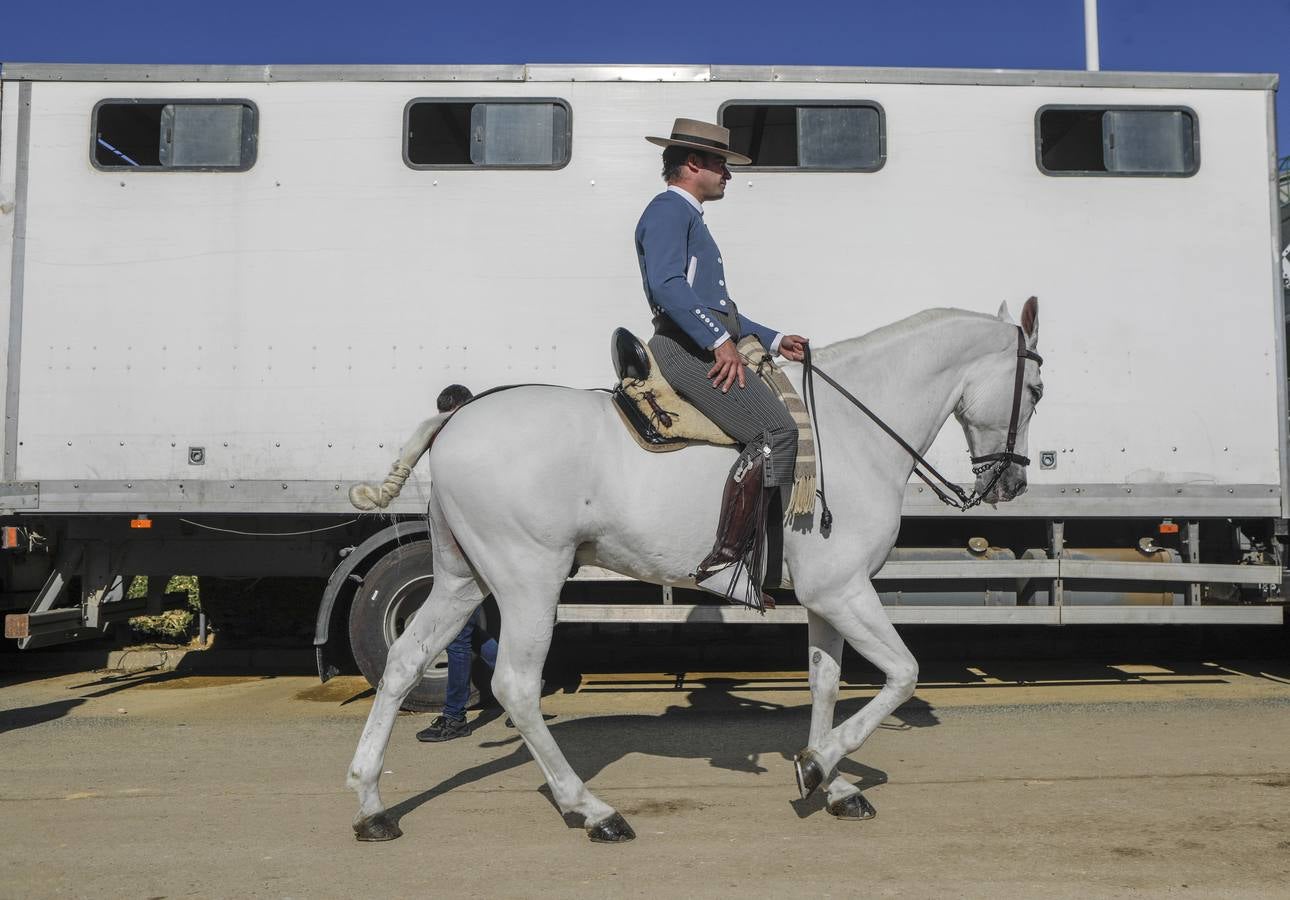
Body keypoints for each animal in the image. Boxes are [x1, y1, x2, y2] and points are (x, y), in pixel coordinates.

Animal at [345, 298, 1043, 842]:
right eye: (1035, 391)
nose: (1011, 482)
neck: (851, 432)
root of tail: (456, 418)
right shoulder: (843, 590)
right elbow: (902, 673)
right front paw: (818, 766)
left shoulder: (827, 599)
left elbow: (825, 683)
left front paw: (833, 780)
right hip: (528, 582)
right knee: (515, 687)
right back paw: (592, 810)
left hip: (464, 580)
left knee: (406, 662)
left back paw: (372, 804)